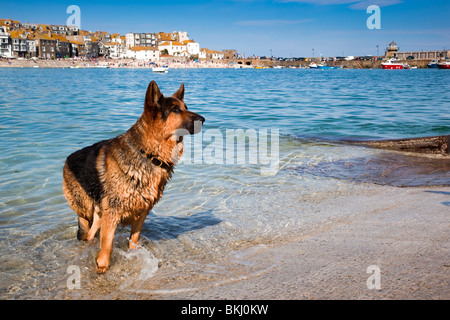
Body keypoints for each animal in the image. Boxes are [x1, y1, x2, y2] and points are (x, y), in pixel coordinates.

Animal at [62, 80, 206, 272]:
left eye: (185, 107)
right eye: (175, 110)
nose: (203, 120)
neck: (148, 154)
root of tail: (67, 160)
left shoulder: (141, 213)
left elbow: (133, 243)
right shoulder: (113, 214)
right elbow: (106, 250)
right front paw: (101, 268)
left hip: (100, 215)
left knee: (91, 235)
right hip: (89, 211)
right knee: (88, 234)